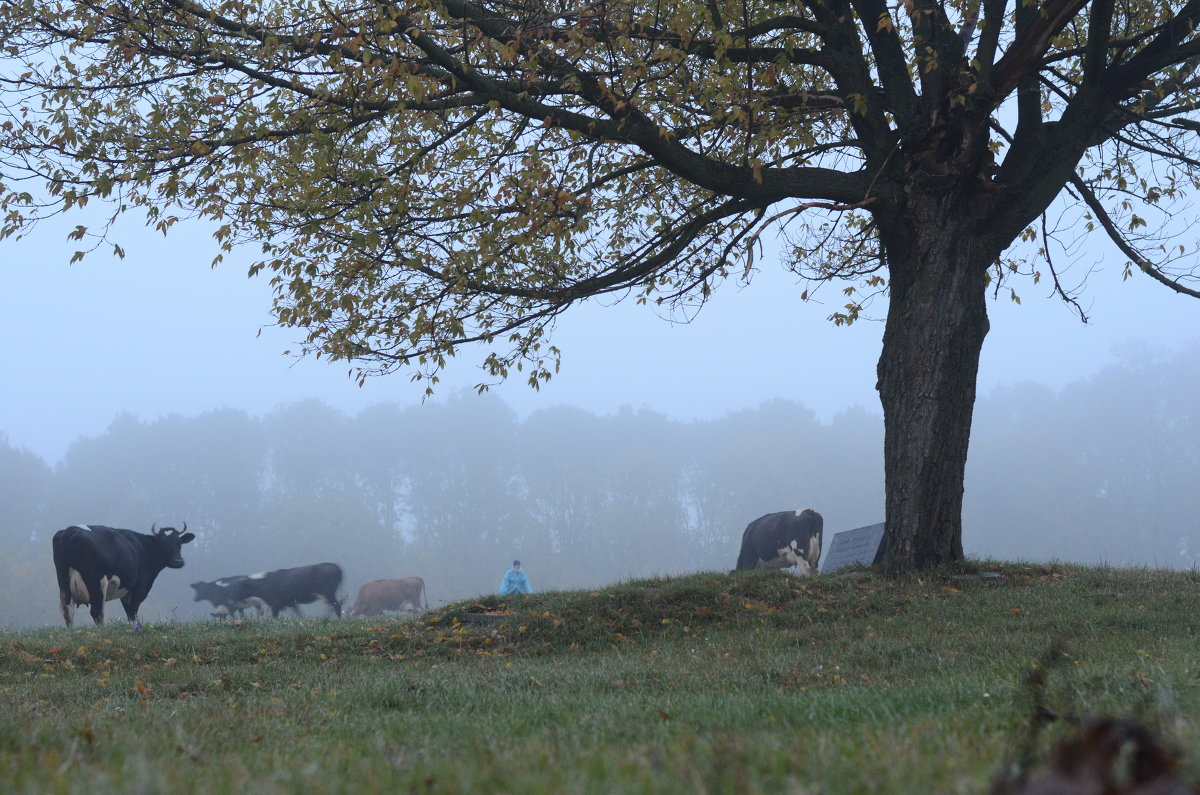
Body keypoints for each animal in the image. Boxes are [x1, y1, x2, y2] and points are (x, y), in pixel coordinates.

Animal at [52, 523, 195, 629]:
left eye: (179, 543)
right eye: (162, 544)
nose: (177, 561)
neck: (143, 548)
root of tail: (71, 530)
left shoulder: (126, 591)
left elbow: (128, 611)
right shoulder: (140, 585)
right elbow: (133, 611)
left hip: (63, 582)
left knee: (67, 610)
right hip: (97, 581)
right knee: (97, 611)